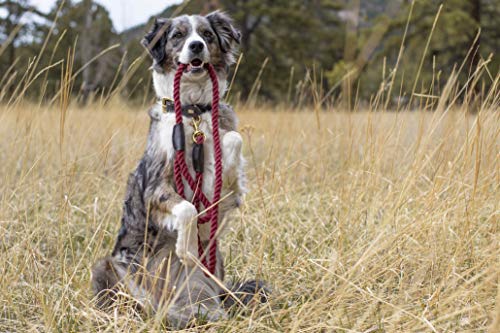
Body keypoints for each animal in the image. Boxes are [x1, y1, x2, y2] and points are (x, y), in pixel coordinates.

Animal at [92, 11, 268, 328]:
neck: (193, 111)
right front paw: (186, 247)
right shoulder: (154, 187)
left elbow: (232, 142)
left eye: (207, 35)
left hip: (208, 274)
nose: (196, 46)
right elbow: (187, 207)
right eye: (178, 35)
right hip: (110, 267)